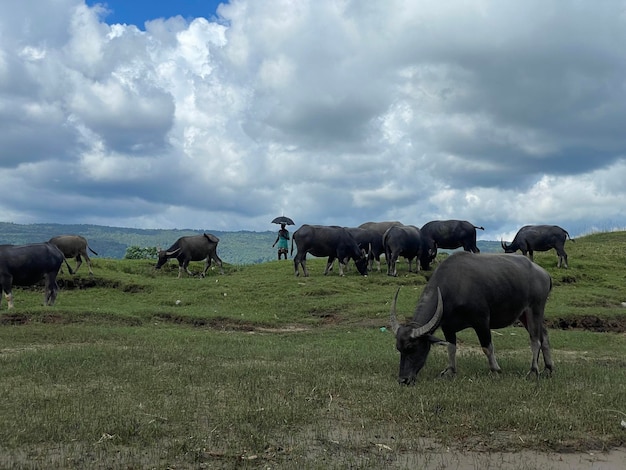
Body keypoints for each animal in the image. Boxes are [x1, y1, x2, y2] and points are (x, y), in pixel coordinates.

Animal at [388, 253, 552, 386]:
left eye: (412, 348)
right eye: (399, 348)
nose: (403, 380)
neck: (454, 287)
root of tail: (544, 274)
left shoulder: (482, 321)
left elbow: (487, 347)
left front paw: (496, 370)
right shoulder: (448, 327)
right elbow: (451, 347)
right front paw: (450, 371)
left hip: (535, 309)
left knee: (535, 340)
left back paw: (533, 371)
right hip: (523, 314)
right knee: (544, 336)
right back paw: (548, 369)